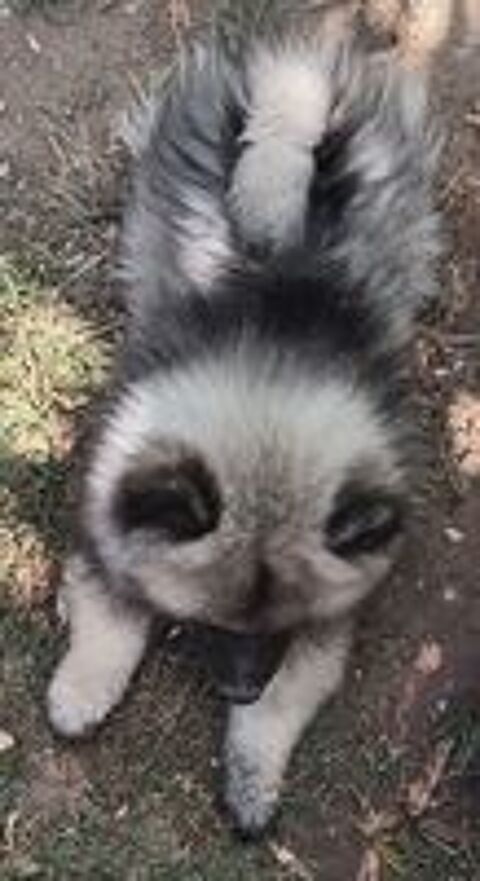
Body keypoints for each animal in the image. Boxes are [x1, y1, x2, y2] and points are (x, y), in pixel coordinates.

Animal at [47, 0, 452, 835]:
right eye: (213, 620)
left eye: (280, 625)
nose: (236, 687)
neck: (267, 366)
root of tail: (294, 77)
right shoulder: (106, 528)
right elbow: (109, 622)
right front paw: (81, 690)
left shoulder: (329, 624)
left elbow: (285, 702)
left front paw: (253, 770)